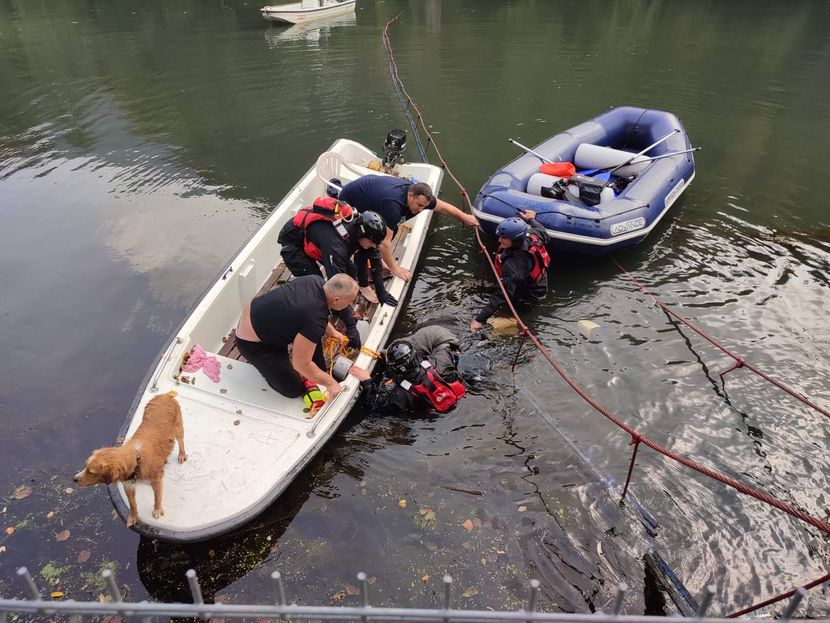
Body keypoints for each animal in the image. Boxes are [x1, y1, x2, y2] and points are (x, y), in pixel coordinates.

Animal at [74, 392, 187, 528]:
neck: (137, 460)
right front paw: (133, 517)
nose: (74, 479)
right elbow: (132, 504)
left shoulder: (156, 481)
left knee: (181, 441)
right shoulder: (128, 485)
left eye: (91, 472)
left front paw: (157, 509)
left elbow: (157, 496)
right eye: (85, 466)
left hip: (178, 427)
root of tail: (165, 395)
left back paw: (182, 454)